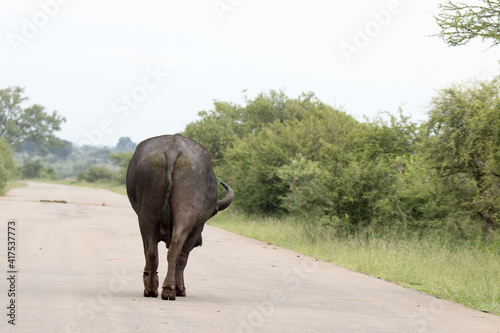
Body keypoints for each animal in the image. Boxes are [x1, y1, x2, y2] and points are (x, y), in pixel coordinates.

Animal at [125, 134, 234, 300]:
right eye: (212, 214)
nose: (200, 241)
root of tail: (172, 151)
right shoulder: (197, 227)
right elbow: (183, 258)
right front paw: (180, 288)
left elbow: (148, 251)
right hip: (186, 216)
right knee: (176, 250)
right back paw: (170, 289)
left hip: (147, 216)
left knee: (152, 252)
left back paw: (152, 288)